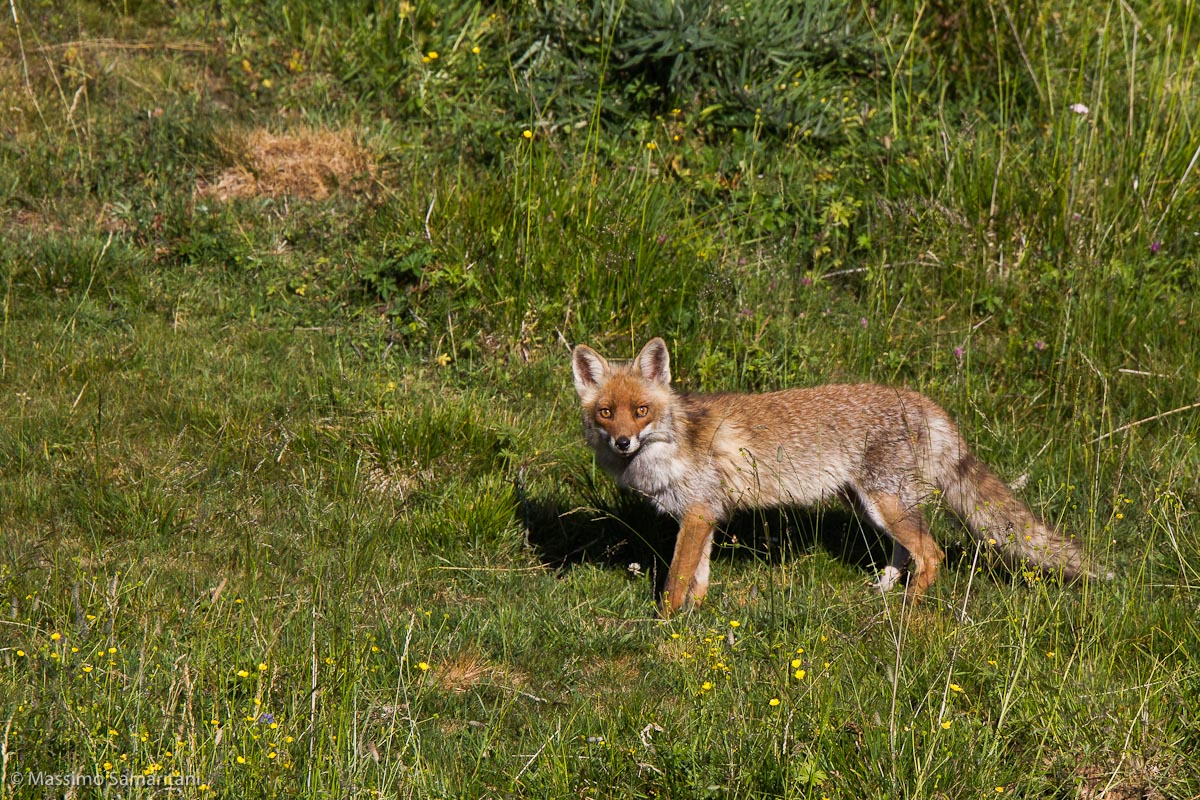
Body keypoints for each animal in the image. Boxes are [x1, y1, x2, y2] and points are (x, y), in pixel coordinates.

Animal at [572, 337, 1103, 617]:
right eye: (606, 413)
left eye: (641, 411)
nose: (623, 443)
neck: (672, 443)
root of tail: (924, 402)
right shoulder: (703, 515)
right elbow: (698, 575)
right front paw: (696, 613)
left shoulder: (699, 513)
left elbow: (676, 578)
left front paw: (665, 624)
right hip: (870, 505)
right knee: (908, 551)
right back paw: (885, 589)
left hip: (886, 502)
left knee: (932, 554)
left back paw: (905, 611)